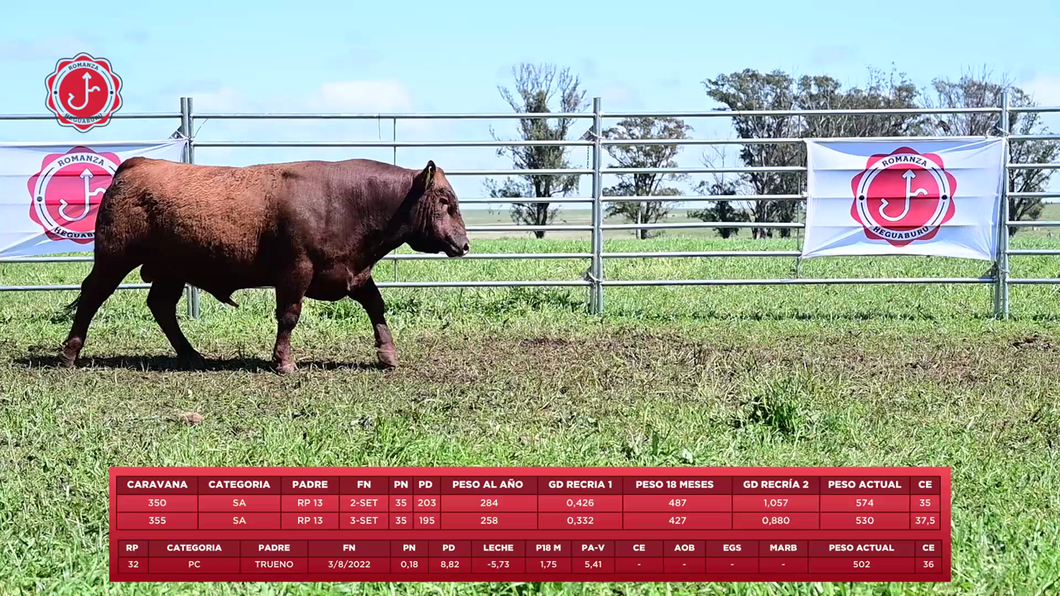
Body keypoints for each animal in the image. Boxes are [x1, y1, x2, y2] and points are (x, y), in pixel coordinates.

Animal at [58, 158, 470, 371]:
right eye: (445, 201)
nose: (464, 244)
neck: (348, 201)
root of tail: (135, 164)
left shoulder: (353, 274)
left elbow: (376, 306)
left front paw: (387, 354)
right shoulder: (295, 272)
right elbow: (288, 316)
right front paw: (282, 361)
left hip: (171, 270)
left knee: (161, 306)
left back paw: (191, 355)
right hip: (114, 258)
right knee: (92, 295)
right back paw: (68, 353)